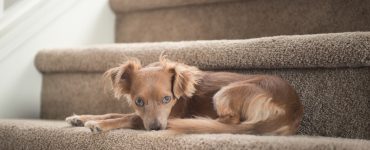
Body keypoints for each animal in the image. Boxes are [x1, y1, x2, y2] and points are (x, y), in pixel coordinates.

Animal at [66, 56, 304, 135]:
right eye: (138, 101)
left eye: (167, 99)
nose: (156, 129)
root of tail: (293, 109)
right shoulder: (142, 114)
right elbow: (113, 112)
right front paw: (80, 118)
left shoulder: (166, 116)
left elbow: (124, 117)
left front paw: (98, 124)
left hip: (226, 92)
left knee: (231, 122)